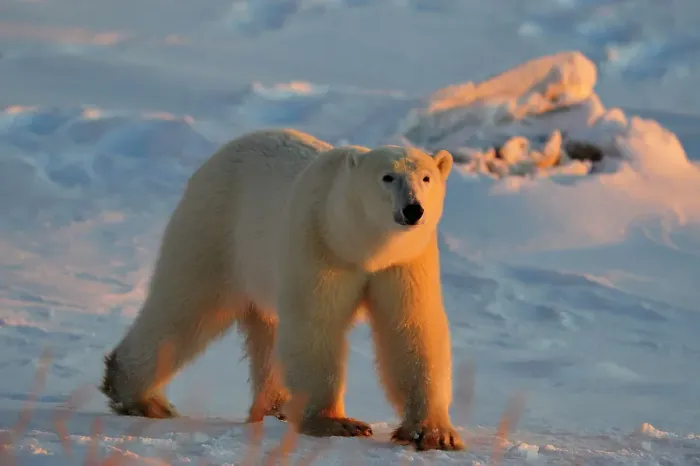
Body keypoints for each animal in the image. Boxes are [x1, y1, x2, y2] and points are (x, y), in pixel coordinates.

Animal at [100, 128, 464, 451]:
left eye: (426, 178)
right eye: (388, 177)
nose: (413, 209)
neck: (358, 245)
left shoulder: (405, 260)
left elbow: (411, 328)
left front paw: (434, 433)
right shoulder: (317, 243)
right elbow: (315, 325)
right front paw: (336, 422)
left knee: (266, 331)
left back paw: (275, 408)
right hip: (218, 230)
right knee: (185, 305)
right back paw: (141, 397)